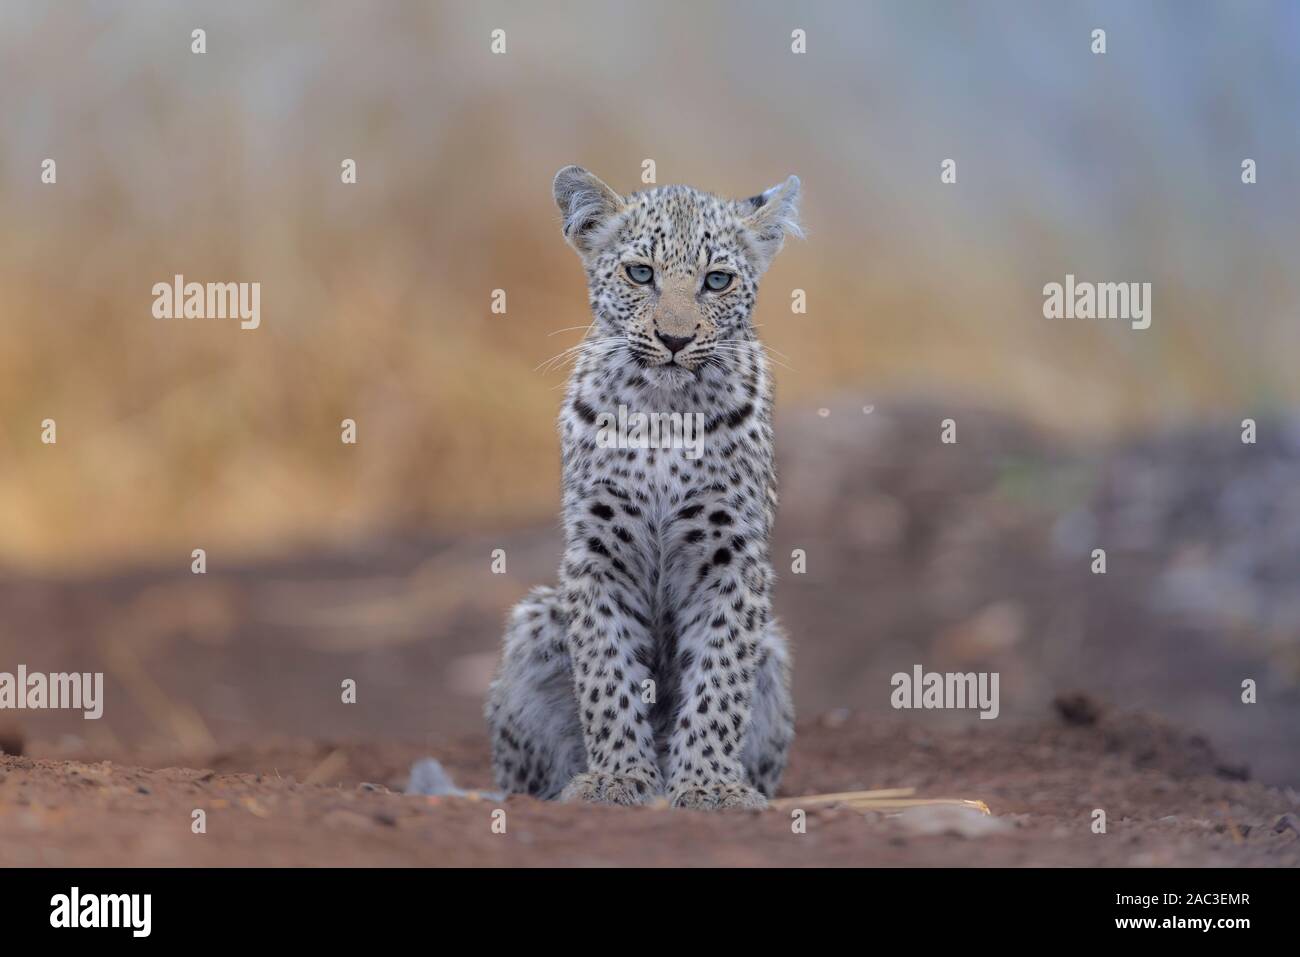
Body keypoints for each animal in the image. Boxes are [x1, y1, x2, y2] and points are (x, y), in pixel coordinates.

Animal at [484, 165, 801, 810]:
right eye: (640, 273)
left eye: (717, 280)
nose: (674, 340)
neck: (663, 411)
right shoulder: (598, 553)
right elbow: (606, 672)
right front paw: (618, 778)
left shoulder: (731, 557)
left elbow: (720, 680)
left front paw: (707, 784)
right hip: (534, 621)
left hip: (775, 653)